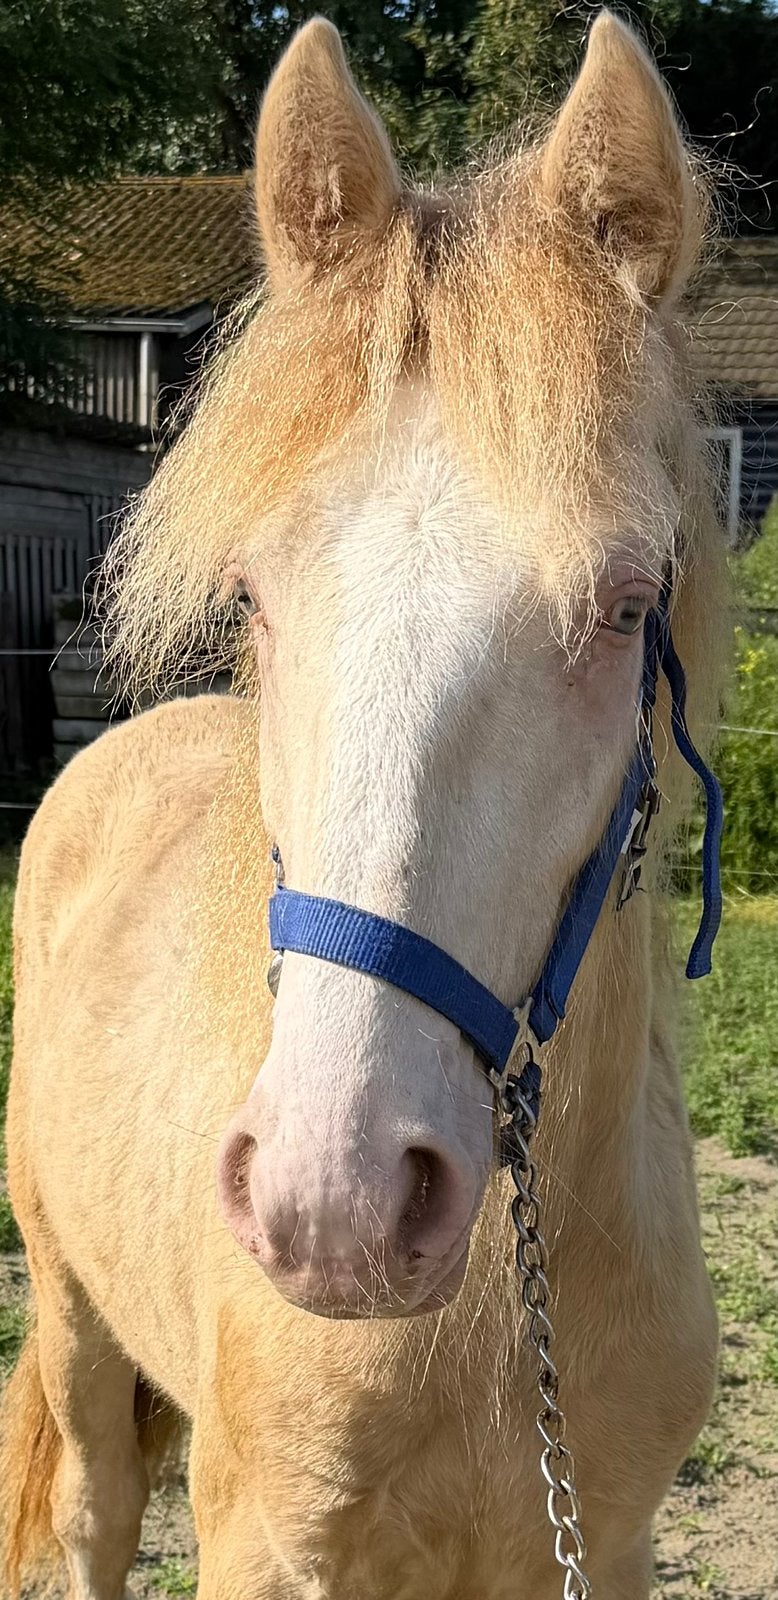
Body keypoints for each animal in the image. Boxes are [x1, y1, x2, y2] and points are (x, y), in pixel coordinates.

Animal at [0, 12, 726, 1598]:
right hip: (74, 1321)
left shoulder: (601, 1543)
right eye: (252, 598)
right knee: (88, 1512)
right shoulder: (266, 1542)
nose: (330, 1202)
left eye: (621, 605)